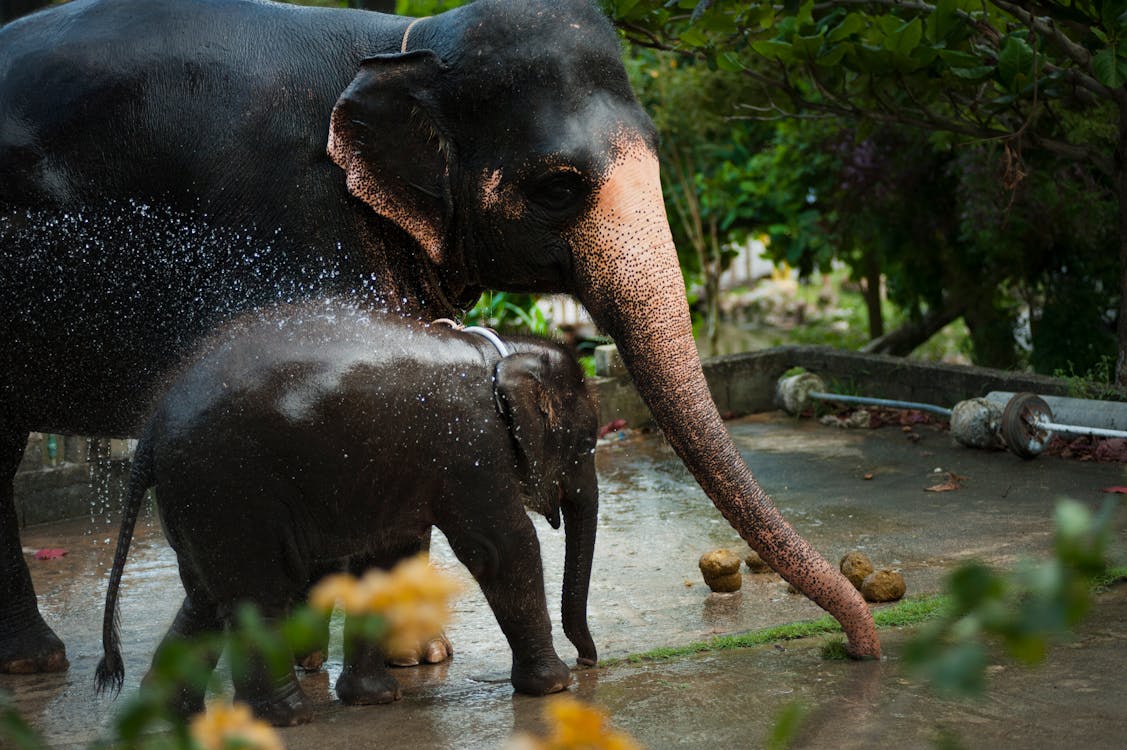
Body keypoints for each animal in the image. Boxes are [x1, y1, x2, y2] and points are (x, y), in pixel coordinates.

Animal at [96, 297, 599, 726]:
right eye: (587, 444)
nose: (588, 660)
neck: (499, 353)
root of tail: (151, 429)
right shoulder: (473, 449)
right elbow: (502, 547)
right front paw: (555, 687)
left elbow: (385, 559)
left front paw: (373, 699)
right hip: (229, 489)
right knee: (259, 591)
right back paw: (289, 717)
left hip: (200, 502)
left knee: (205, 596)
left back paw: (174, 713)